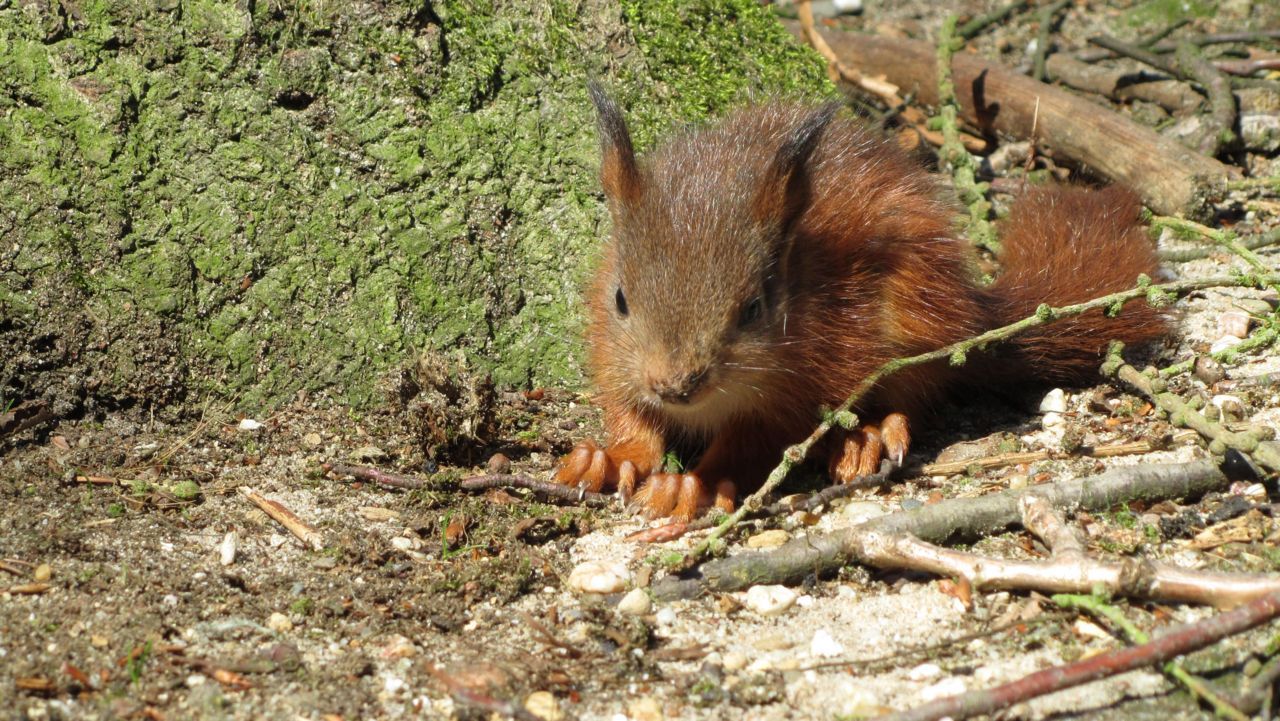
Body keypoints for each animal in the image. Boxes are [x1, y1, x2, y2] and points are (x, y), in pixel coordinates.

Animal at [552, 87, 1172, 522]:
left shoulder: (809, 375)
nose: (675, 386)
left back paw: (868, 435)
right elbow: (629, 414)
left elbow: (760, 441)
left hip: (920, 311)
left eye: (754, 307)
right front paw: (611, 457)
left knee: (917, 394)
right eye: (620, 299)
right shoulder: (614, 359)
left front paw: (693, 483)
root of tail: (979, 313)